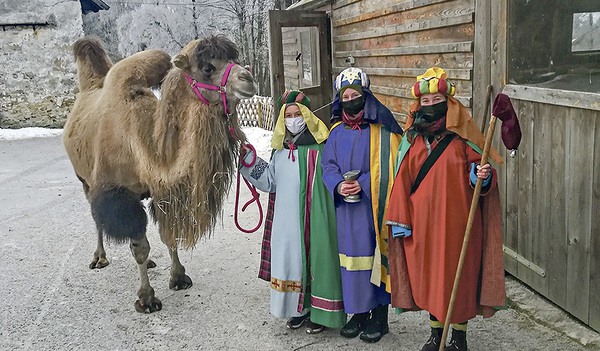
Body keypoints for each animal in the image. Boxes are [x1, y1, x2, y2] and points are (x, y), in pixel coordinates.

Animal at [63, 36, 255, 314]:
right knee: (96, 217)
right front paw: (146, 298)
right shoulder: (119, 195)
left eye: (233, 58)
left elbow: (168, 236)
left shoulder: (162, 191)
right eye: (207, 67)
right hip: (85, 180)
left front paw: (179, 277)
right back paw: (99, 258)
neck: (145, 147)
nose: (248, 78)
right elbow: (140, 247)